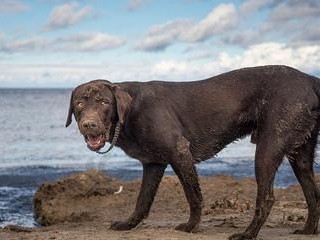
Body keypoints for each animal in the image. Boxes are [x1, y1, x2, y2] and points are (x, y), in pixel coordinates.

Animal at [65, 64, 320, 239]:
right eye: (79, 103)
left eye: (103, 102)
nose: (89, 124)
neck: (129, 112)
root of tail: (309, 79)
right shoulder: (153, 164)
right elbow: (142, 201)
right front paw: (129, 224)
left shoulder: (180, 152)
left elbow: (193, 195)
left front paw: (191, 226)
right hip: (301, 156)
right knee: (313, 194)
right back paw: (308, 230)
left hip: (267, 149)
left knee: (267, 198)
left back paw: (248, 234)